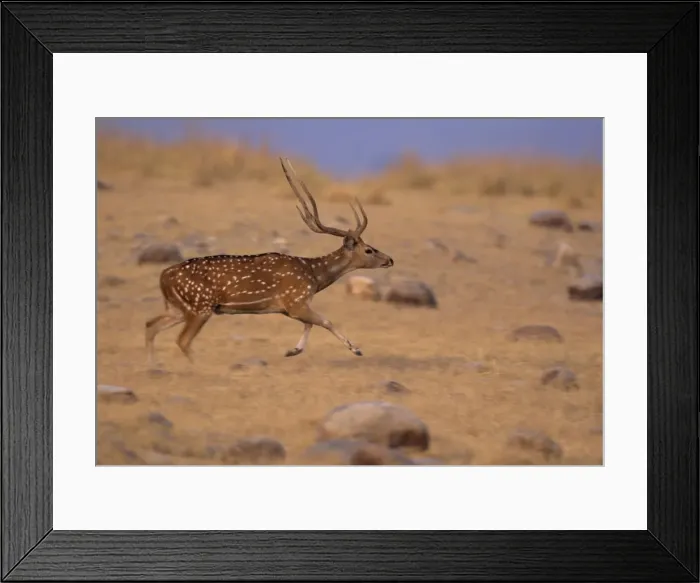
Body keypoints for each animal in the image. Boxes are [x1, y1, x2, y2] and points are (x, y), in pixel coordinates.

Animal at [145, 157, 394, 366]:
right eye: (369, 250)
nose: (390, 259)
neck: (314, 275)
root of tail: (163, 276)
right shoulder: (295, 301)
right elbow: (325, 321)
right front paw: (356, 349)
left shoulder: (289, 308)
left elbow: (311, 323)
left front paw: (293, 350)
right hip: (201, 306)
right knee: (182, 339)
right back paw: (198, 368)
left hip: (179, 307)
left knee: (151, 325)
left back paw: (154, 365)